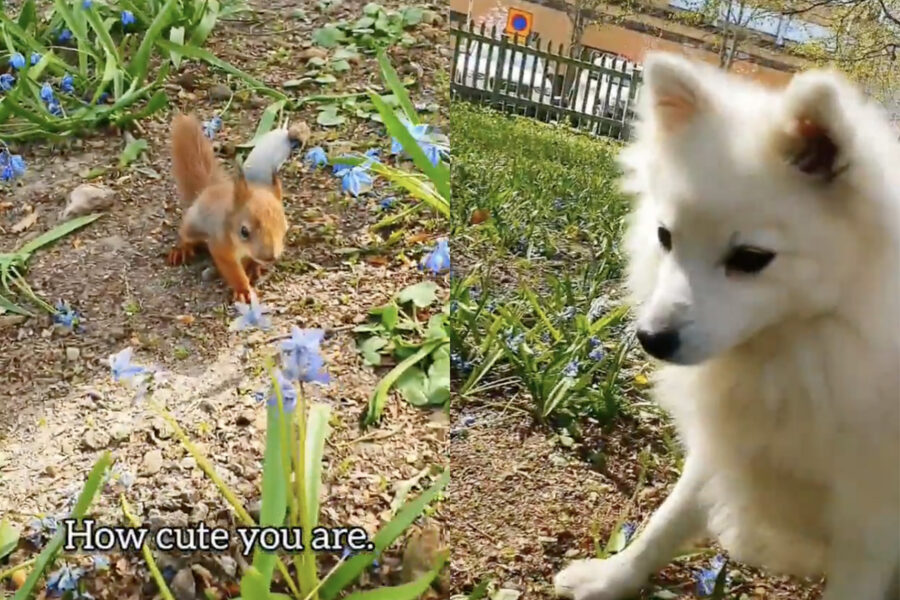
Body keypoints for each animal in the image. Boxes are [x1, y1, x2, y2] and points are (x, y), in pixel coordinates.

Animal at [165, 111, 284, 304]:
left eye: (284, 228)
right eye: (244, 231)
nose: (269, 257)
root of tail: (209, 189)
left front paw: (254, 267)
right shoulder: (220, 245)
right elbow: (232, 270)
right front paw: (243, 290)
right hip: (192, 226)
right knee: (185, 235)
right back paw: (181, 249)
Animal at [556, 52, 900, 600]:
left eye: (751, 258)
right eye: (665, 237)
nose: (651, 339)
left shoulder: (870, 528)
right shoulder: (725, 445)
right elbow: (666, 520)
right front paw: (612, 577)